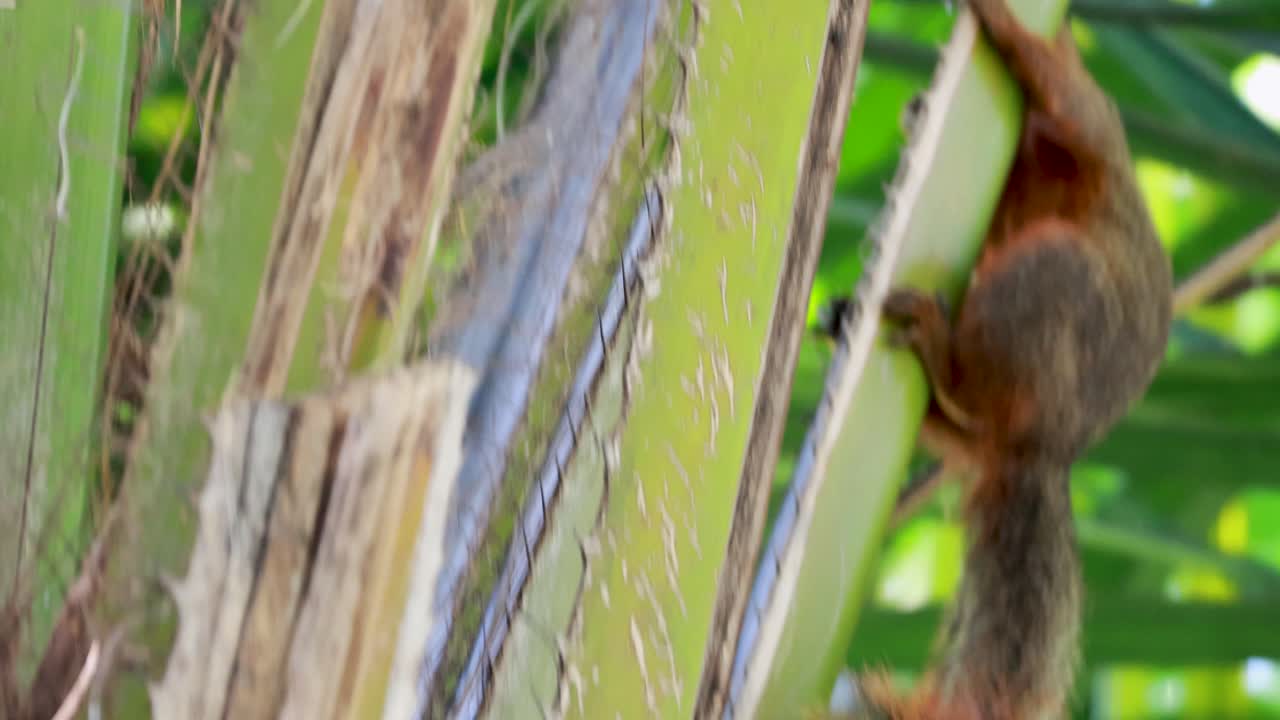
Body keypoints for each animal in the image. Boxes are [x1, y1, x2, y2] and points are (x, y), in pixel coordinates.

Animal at [833, 0, 1174, 718]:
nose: (916, 106)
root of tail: (1045, 447)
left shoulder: (1085, 115)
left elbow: (1051, 80)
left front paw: (1001, 23)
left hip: (1047, 284)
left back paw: (936, 348)